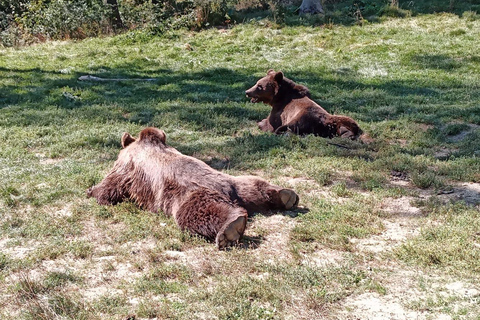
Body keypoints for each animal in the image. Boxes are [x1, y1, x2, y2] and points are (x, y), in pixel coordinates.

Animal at [86, 127, 296, 250]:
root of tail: (228, 191)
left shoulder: (126, 167)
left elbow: (112, 183)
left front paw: (93, 191)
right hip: (238, 184)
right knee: (254, 185)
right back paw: (285, 195)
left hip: (188, 196)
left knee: (197, 213)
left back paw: (230, 228)